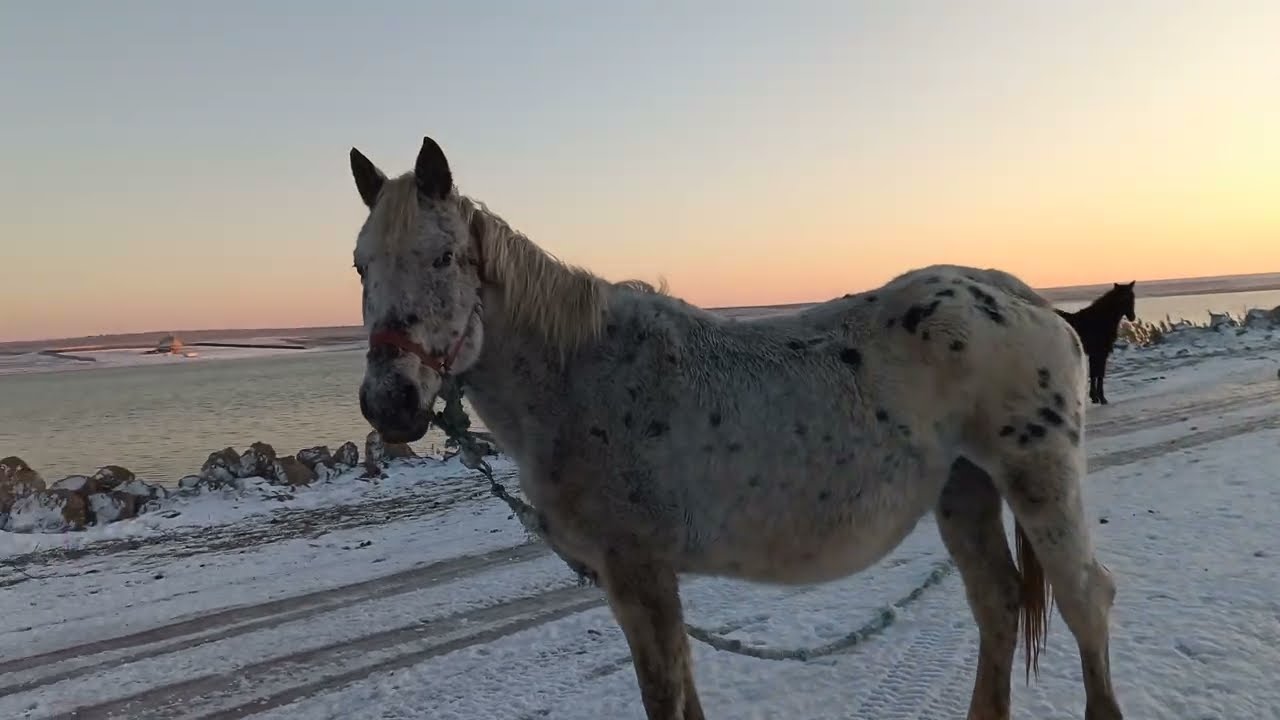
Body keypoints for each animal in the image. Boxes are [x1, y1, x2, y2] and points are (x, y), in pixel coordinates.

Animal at [348, 136, 1124, 720]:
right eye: (360, 265)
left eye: (443, 257)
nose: (389, 402)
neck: (579, 374)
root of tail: (1014, 294)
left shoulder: (638, 573)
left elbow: (665, 696)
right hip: (963, 488)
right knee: (996, 603)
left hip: (1038, 478)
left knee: (1086, 601)